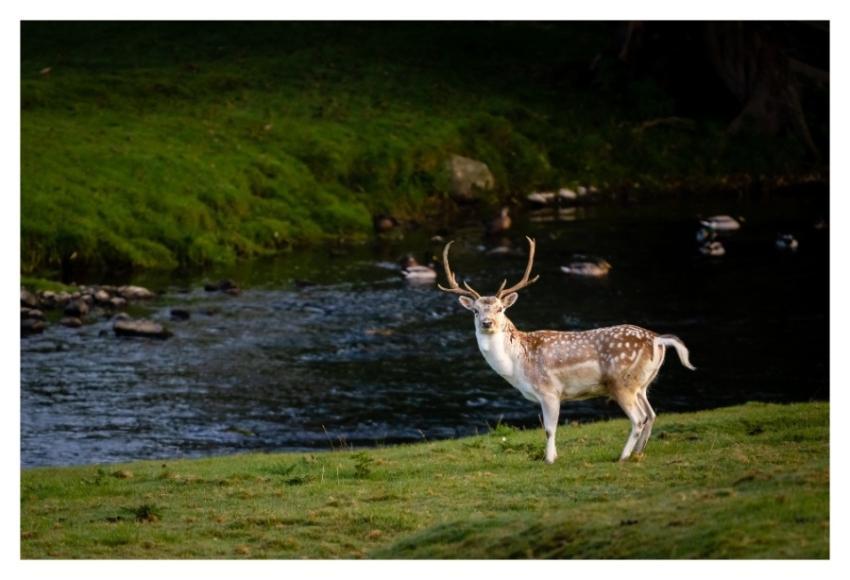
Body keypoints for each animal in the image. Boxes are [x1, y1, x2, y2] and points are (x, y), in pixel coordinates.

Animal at [438, 236, 696, 463]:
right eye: (475, 311)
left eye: (500, 309)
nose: (487, 323)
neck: (517, 366)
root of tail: (658, 340)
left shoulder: (549, 390)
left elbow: (549, 429)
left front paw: (549, 459)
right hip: (642, 384)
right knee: (651, 414)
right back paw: (638, 454)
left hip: (622, 383)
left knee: (639, 418)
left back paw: (622, 456)